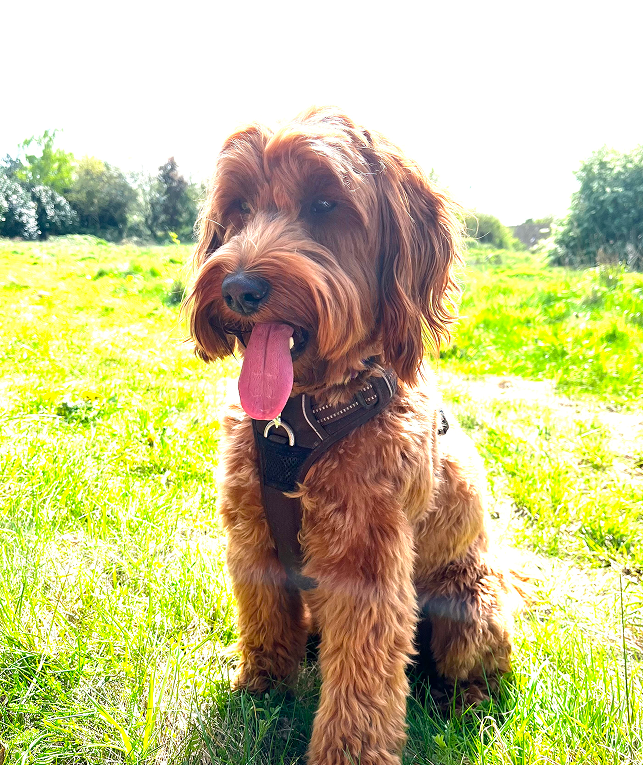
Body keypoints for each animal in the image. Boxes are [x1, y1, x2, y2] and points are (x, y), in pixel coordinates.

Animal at [186, 107, 516, 765]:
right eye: (239, 208)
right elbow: (264, 618)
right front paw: (259, 690)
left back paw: (465, 701)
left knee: (478, 665)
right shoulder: (253, 532)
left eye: (324, 204)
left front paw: (349, 752)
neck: (300, 420)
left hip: (473, 605)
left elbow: (362, 678)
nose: (237, 289)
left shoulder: (367, 559)